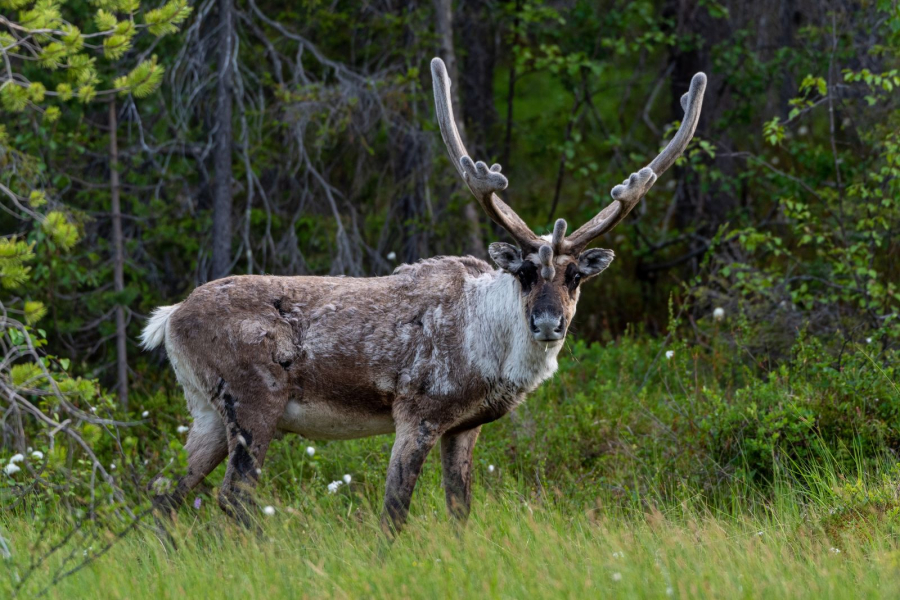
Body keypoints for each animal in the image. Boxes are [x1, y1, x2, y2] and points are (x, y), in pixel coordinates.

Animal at [141, 57, 706, 535]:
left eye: (575, 277)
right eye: (525, 272)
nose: (549, 324)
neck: (489, 347)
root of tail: (168, 318)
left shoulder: (465, 428)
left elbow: (460, 510)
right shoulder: (417, 412)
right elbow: (394, 511)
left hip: (206, 412)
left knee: (164, 493)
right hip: (254, 399)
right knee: (232, 496)